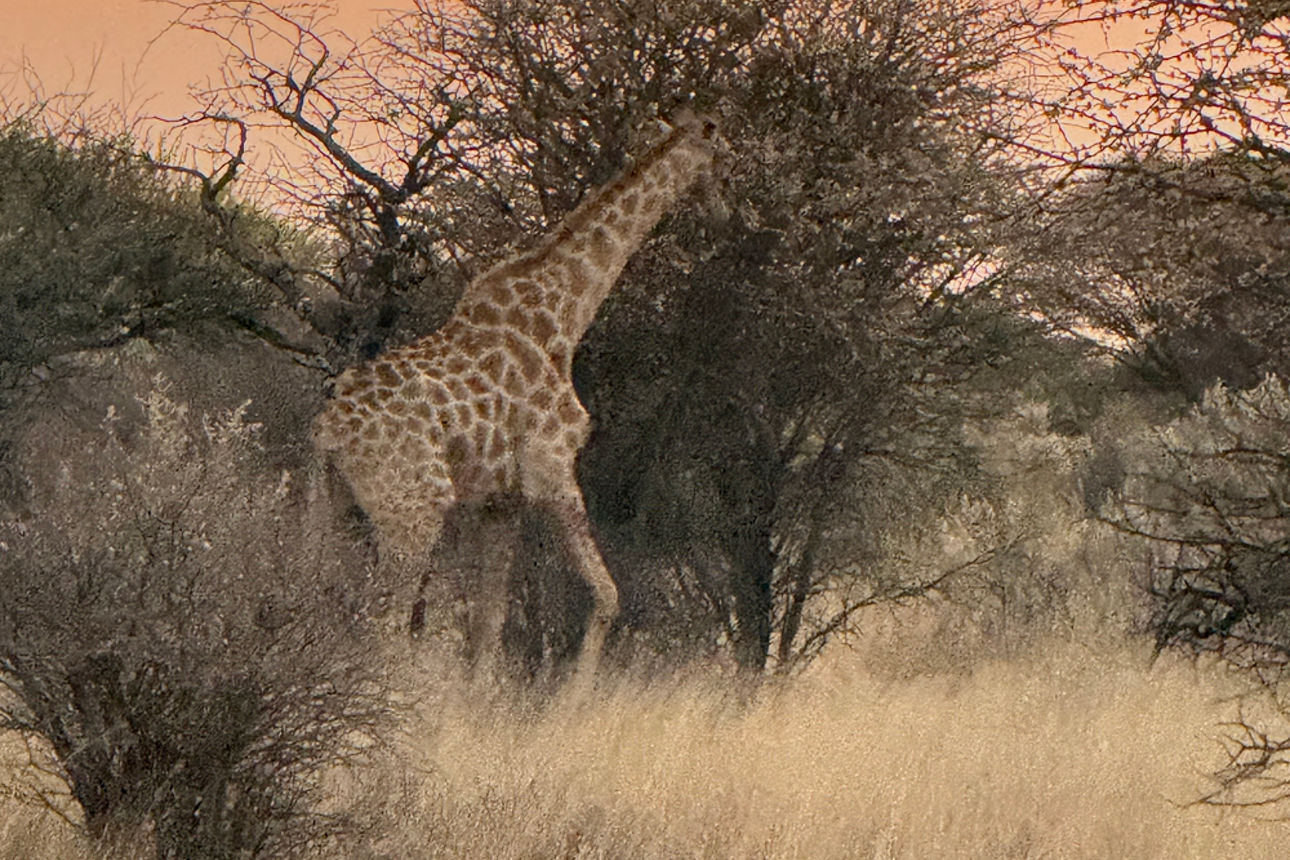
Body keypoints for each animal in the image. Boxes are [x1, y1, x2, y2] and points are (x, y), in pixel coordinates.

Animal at [312, 112, 724, 683]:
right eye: (724, 157)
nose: (732, 211)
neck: (565, 312)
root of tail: (330, 434)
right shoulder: (551, 468)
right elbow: (607, 595)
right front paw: (572, 698)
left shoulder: (500, 499)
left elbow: (488, 626)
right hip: (411, 512)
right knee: (382, 621)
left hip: (334, 504)